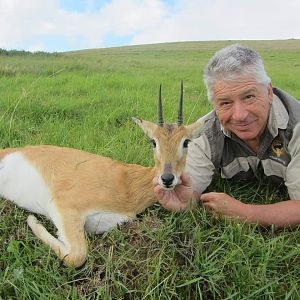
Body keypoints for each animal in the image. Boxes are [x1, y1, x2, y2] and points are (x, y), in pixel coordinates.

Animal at [0, 82, 204, 268]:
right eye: (153, 141)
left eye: (186, 141)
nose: (167, 178)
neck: (127, 184)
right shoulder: (64, 206)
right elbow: (77, 256)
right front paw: (32, 219)